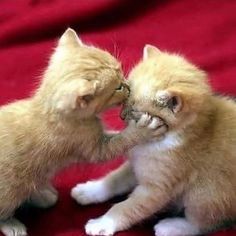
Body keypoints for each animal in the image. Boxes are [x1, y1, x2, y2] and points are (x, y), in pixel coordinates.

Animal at [0, 29, 167, 236]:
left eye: (120, 70)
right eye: (118, 87)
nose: (128, 84)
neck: (49, 110)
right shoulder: (93, 149)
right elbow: (121, 141)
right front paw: (142, 131)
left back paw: (43, 195)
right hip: (9, 191)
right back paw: (13, 224)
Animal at [72, 45, 236, 235]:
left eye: (135, 112)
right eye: (125, 100)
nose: (121, 116)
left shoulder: (157, 188)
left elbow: (127, 208)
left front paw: (104, 222)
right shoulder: (136, 164)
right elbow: (115, 179)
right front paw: (90, 190)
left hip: (205, 194)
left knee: (203, 223)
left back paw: (171, 226)